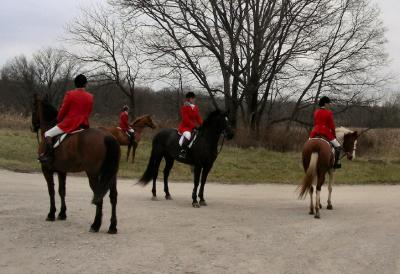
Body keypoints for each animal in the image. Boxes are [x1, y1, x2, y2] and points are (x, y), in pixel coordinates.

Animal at [31, 94, 120, 233]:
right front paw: (62, 214)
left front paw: (51, 214)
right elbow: (62, 191)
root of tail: (108, 136)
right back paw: (112, 227)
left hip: (93, 174)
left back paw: (95, 225)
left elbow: (51, 190)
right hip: (111, 175)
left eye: (33, 108)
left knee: (98, 197)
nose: (33, 127)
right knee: (113, 197)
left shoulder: (46, 169)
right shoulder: (62, 171)